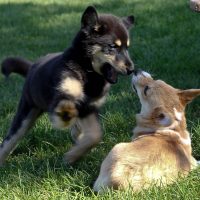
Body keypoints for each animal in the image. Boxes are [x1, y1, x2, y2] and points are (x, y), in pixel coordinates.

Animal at [0, 7, 134, 165]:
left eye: (127, 48)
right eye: (113, 47)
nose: (131, 69)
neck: (88, 72)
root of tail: (33, 66)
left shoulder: (88, 108)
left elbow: (95, 135)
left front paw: (73, 156)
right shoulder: (63, 90)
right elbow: (66, 101)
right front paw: (65, 115)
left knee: (78, 131)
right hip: (27, 111)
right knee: (9, 140)